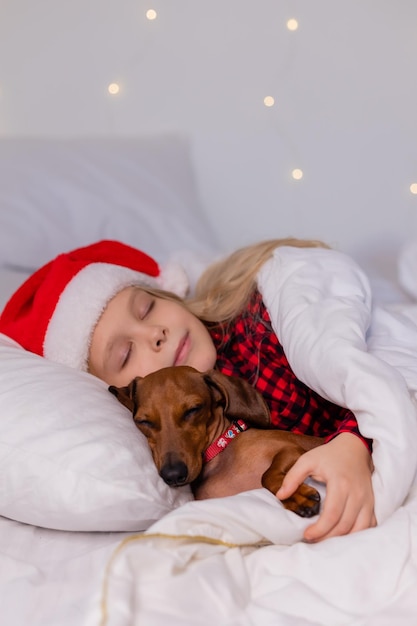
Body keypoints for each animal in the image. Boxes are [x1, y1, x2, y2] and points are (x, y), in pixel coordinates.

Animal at [109, 364, 324, 516]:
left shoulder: (293, 449)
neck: (220, 452)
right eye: (143, 421)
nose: (173, 475)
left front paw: (296, 496)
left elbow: (267, 475)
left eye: (193, 410)